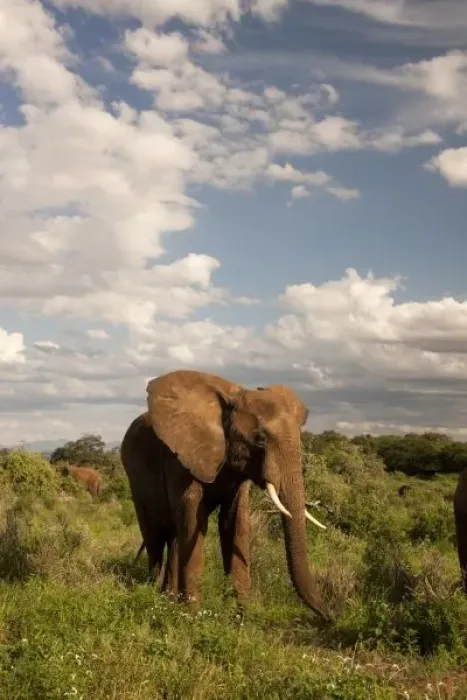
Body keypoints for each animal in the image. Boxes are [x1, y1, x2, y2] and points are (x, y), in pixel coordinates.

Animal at [120, 368, 329, 621]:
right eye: (260, 439)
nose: (330, 617)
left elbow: (234, 521)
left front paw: (242, 617)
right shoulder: (180, 460)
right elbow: (194, 520)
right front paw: (192, 617)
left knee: (174, 538)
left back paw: (167, 599)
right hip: (135, 480)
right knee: (154, 537)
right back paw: (154, 595)